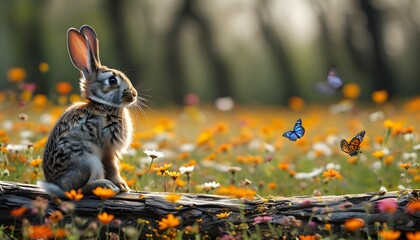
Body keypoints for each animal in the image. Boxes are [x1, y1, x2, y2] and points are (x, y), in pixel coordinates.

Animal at [37, 24, 138, 197]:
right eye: (112, 80)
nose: (134, 94)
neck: (103, 104)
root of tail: (58, 186)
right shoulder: (108, 149)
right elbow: (112, 168)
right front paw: (122, 186)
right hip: (87, 160)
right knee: (78, 189)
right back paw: (105, 186)